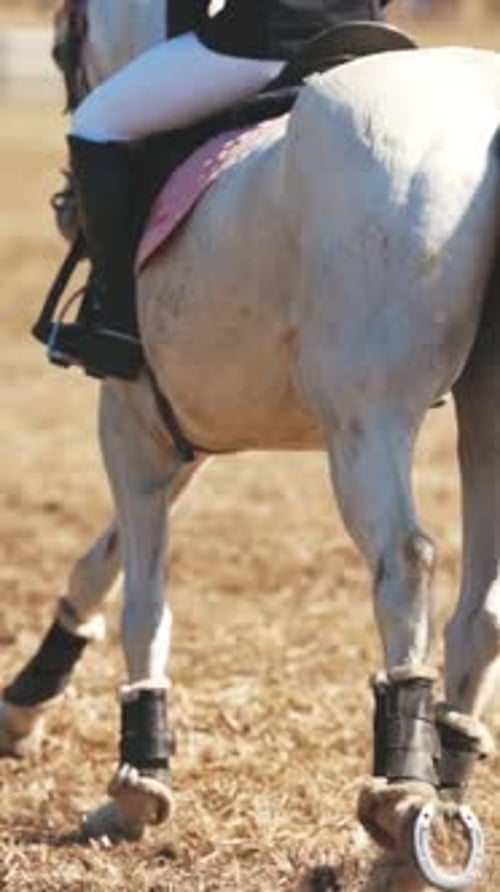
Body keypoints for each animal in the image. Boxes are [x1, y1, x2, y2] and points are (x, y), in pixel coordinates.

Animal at [2, 1, 500, 887]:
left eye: (63, 50)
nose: (63, 205)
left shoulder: (130, 423)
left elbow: (145, 600)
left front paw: (136, 784)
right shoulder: (185, 434)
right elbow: (101, 561)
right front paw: (27, 700)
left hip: (365, 418)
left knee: (404, 562)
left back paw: (400, 797)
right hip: (482, 402)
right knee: (481, 609)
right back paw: (442, 799)